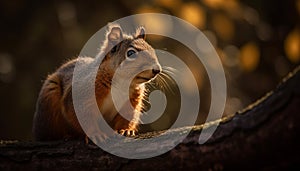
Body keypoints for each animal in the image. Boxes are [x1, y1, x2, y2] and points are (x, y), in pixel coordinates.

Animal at [32, 24, 162, 142]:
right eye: (130, 53)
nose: (157, 70)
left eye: (152, 49)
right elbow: (84, 118)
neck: (122, 83)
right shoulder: (82, 96)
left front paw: (126, 130)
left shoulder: (132, 101)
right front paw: (96, 134)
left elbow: (126, 117)